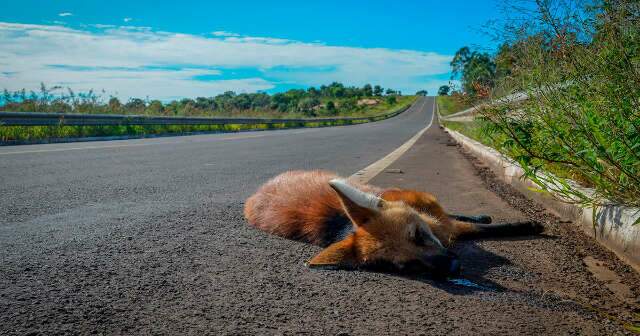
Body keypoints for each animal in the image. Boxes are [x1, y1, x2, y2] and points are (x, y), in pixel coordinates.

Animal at [242, 171, 544, 276]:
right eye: (407, 266)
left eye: (418, 236)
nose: (454, 269)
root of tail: (256, 192)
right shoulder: (448, 230)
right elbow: (470, 227)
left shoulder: (442, 223)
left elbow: (482, 225)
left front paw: (529, 226)